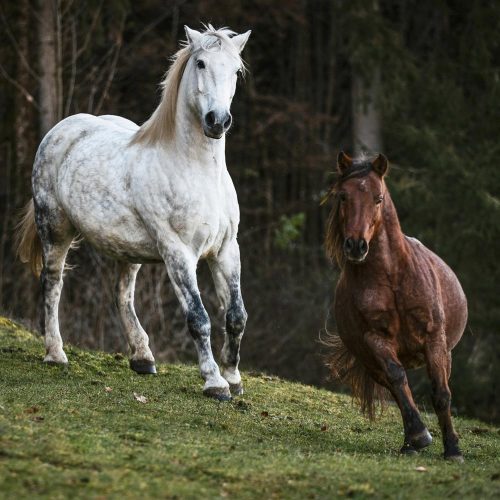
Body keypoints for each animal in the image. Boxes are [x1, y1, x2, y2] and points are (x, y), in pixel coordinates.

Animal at [17, 25, 252, 400]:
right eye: (200, 63)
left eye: (235, 70)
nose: (218, 121)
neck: (198, 174)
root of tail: (61, 130)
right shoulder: (177, 253)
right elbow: (198, 317)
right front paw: (215, 382)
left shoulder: (226, 249)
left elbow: (236, 315)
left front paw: (233, 377)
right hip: (54, 228)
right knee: (52, 283)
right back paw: (56, 354)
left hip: (127, 251)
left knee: (122, 294)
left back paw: (142, 358)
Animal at [324, 151, 468, 460]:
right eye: (343, 196)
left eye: (378, 198)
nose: (356, 245)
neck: (392, 277)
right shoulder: (376, 339)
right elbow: (398, 380)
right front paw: (420, 435)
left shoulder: (434, 339)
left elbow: (441, 393)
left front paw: (453, 449)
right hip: (371, 362)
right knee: (396, 389)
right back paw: (410, 443)